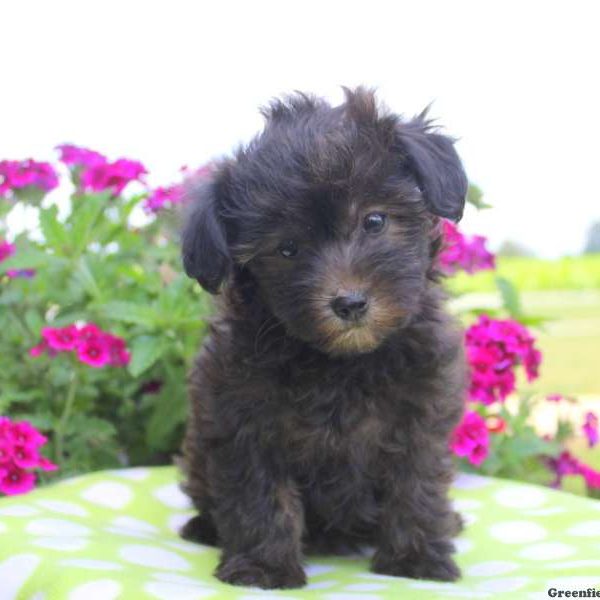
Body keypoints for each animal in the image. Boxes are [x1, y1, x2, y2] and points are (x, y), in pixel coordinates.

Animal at [178, 89, 468, 592]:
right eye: (287, 249)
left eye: (374, 220)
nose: (349, 303)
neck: (340, 362)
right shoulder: (243, 419)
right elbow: (261, 496)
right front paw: (264, 568)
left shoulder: (420, 414)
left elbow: (415, 485)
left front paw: (415, 559)